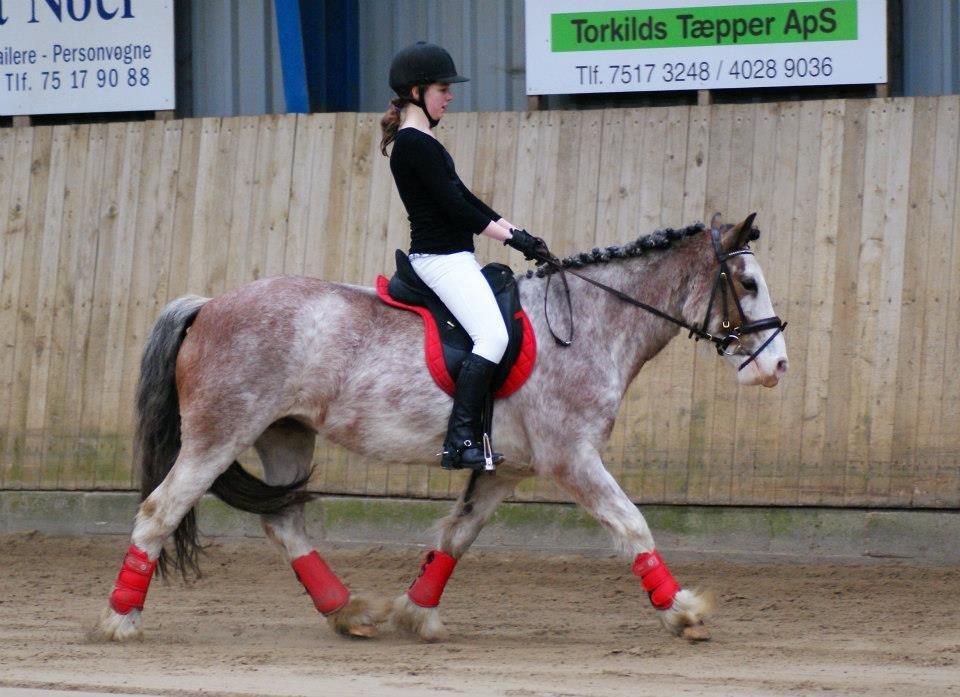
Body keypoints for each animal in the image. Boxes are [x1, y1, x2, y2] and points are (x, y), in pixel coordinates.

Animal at [92, 212, 788, 640]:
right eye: (747, 282)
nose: (777, 366)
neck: (590, 319)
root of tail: (208, 305)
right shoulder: (572, 458)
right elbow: (631, 523)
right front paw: (682, 611)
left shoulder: (507, 469)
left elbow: (456, 536)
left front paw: (414, 612)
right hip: (219, 435)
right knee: (158, 512)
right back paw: (120, 621)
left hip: (284, 436)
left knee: (282, 520)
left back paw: (350, 611)